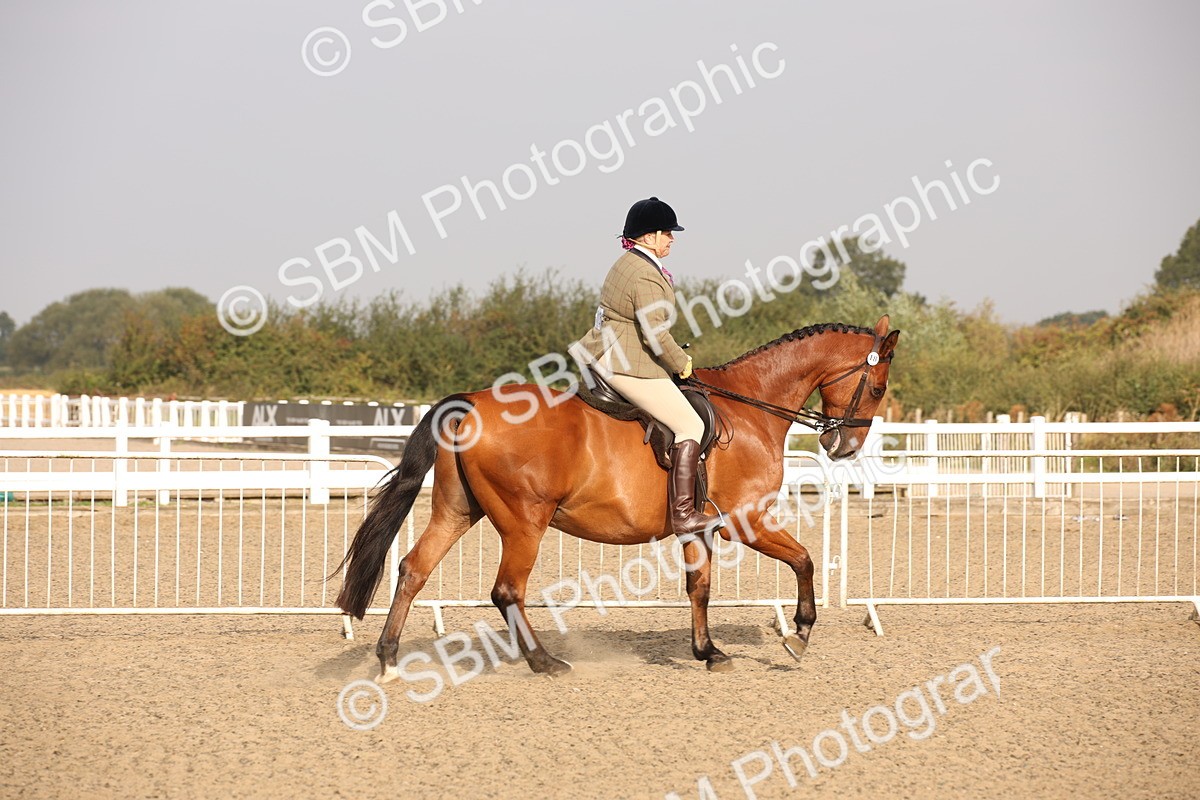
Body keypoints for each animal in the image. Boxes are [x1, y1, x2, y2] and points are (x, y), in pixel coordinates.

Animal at [335, 315, 900, 680]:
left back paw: (388, 658)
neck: (751, 407)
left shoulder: (701, 527)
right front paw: (799, 634)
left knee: (413, 568)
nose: (844, 447)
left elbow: (700, 587)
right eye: (876, 389)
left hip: (458, 512)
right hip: (524, 523)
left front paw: (708, 651)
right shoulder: (750, 520)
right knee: (506, 591)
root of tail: (470, 403)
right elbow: (804, 560)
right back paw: (544, 662)